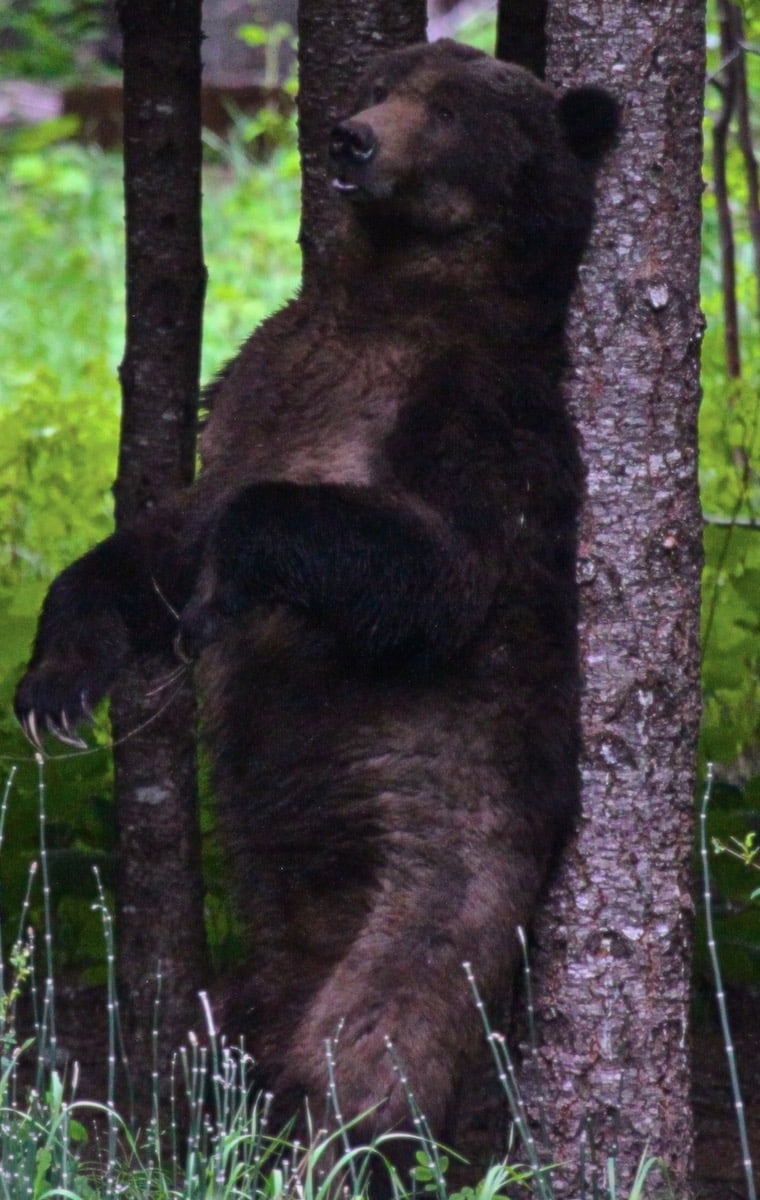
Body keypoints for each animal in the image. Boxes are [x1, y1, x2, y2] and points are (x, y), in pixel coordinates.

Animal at [16, 39, 614, 1161]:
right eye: (383, 80)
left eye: (450, 107)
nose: (352, 139)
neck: (397, 294)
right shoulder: (265, 382)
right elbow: (158, 538)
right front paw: (58, 682)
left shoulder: (478, 417)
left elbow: (431, 570)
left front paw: (224, 588)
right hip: (283, 900)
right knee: (254, 1015)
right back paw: (231, 1112)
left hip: (451, 843)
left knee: (384, 1023)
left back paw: (343, 1143)